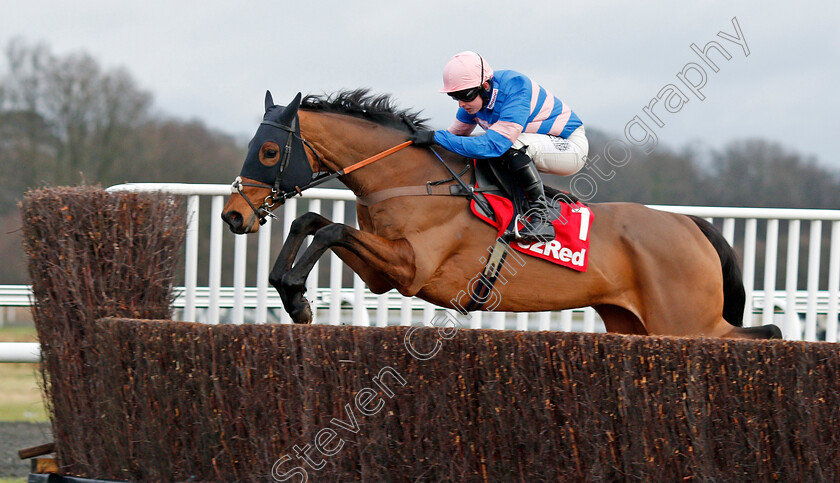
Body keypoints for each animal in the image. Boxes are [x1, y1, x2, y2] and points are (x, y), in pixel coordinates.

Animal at [221, 91, 780, 340]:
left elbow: (331, 227)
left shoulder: (412, 266)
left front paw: (297, 298)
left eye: (268, 151)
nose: (233, 216)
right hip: (633, 325)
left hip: (687, 323)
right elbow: (312, 223)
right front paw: (289, 291)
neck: (412, 179)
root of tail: (691, 224)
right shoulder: (385, 274)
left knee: (761, 334)